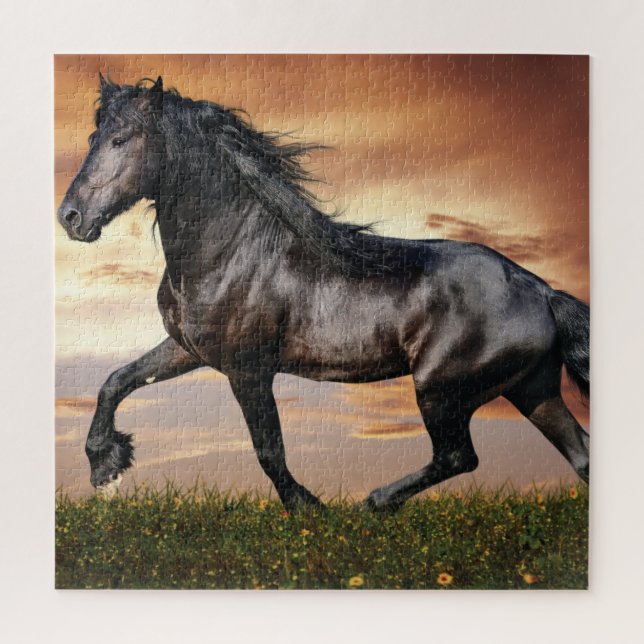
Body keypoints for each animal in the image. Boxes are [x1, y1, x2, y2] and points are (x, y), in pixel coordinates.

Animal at [57, 75, 590, 511]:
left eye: (122, 139)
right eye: (93, 138)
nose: (71, 217)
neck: (231, 250)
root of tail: (542, 291)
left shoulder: (248, 369)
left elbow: (268, 449)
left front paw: (308, 508)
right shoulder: (188, 349)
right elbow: (116, 381)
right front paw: (106, 466)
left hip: (441, 389)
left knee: (459, 456)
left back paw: (374, 502)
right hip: (533, 390)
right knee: (579, 456)